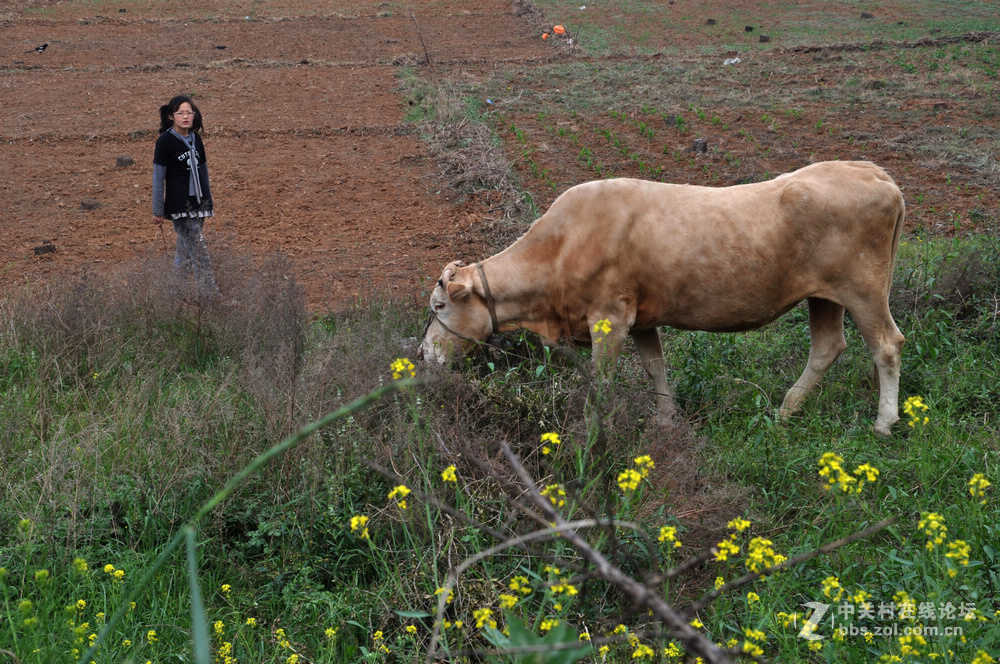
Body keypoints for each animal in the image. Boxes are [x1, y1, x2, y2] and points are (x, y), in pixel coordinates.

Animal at [422, 161, 908, 436]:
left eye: (439, 306)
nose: (424, 355)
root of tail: (870, 171)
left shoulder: (609, 316)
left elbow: (601, 380)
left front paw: (591, 431)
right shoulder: (641, 318)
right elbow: (654, 365)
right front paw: (665, 419)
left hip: (864, 289)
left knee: (886, 345)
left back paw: (884, 422)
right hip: (824, 296)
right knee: (827, 347)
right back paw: (786, 411)